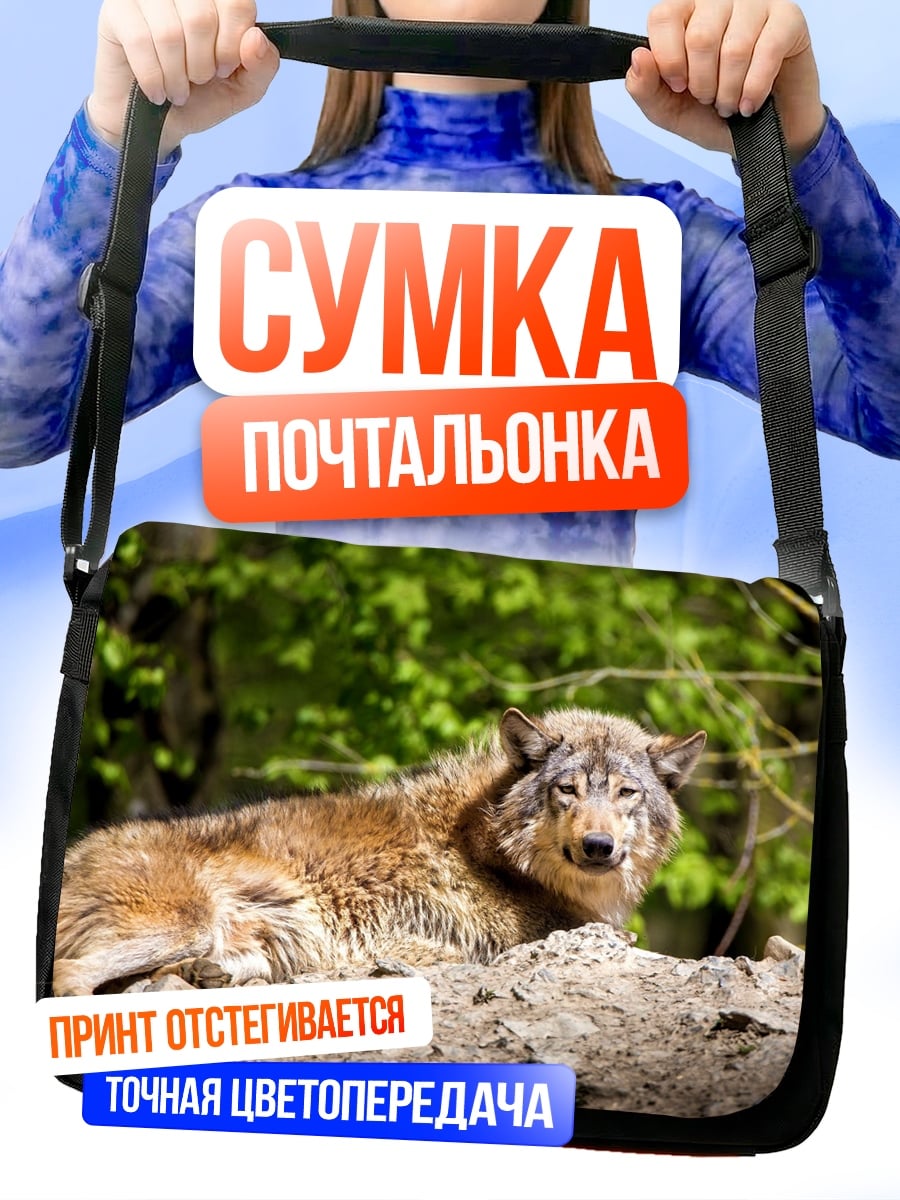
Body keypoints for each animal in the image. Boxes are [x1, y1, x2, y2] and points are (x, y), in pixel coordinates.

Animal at [52, 707, 706, 995]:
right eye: (567, 790)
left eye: (625, 793)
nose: (598, 847)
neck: (494, 846)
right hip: (186, 924)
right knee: (67, 978)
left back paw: (205, 977)